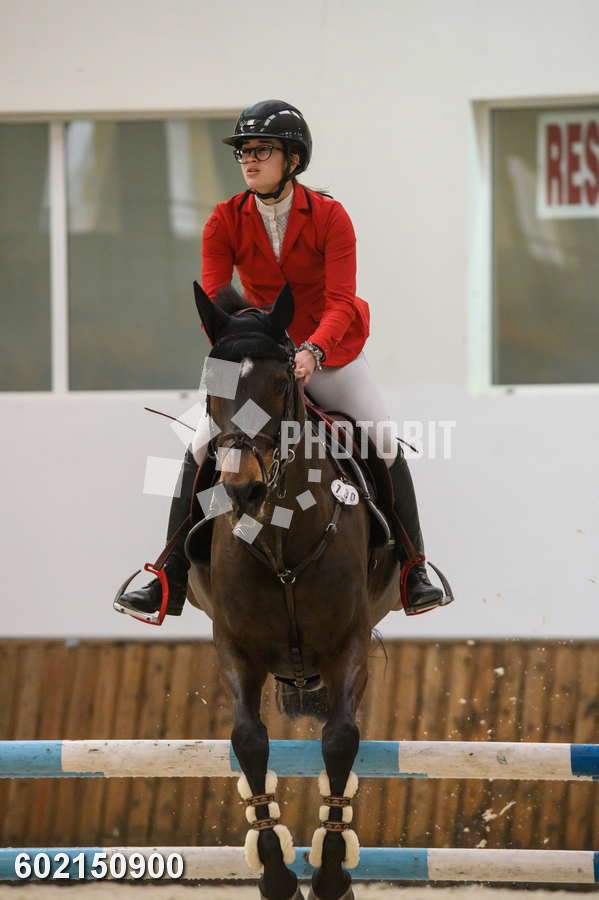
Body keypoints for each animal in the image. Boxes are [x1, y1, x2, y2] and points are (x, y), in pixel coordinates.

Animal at [186, 281, 403, 900]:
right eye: (211, 389)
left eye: (282, 384)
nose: (243, 489)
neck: (280, 532)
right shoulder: (235, 645)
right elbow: (249, 740)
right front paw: (277, 872)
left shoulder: (347, 643)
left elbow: (340, 740)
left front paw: (330, 874)